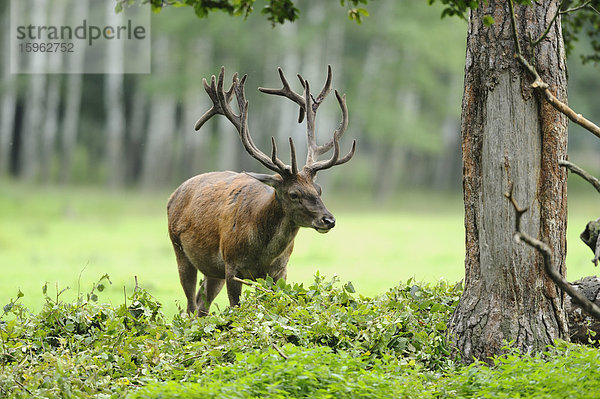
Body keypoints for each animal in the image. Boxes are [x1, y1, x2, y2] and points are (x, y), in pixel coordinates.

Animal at [166, 66, 354, 316]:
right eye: (294, 193)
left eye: (319, 189)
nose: (329, 220)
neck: (261, 253)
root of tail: (173, 195)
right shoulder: (232, 265)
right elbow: (235, 307)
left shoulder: (279, 272)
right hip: (180, 249)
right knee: (189, 306)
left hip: (213, 270)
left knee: (201, 304)